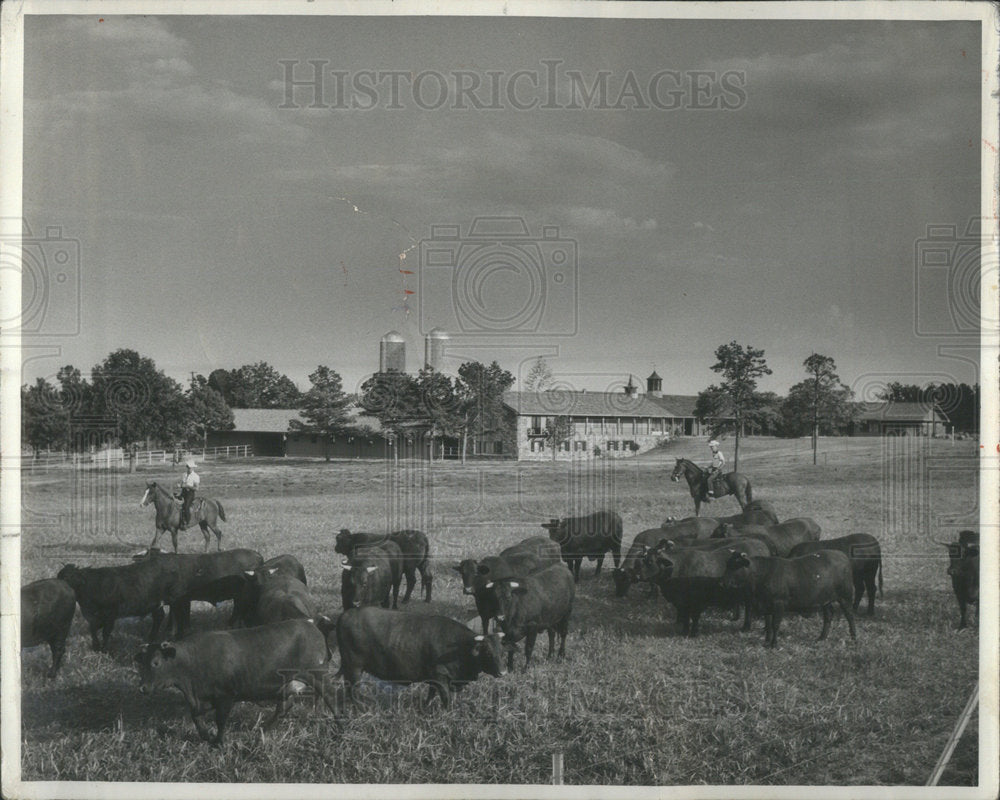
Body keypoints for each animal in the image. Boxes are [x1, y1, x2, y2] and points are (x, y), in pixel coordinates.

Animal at [133, 620, 338, 744]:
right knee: (283, 708)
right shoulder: (203, 699)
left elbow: (220, 720)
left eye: (156, 662)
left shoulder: (226, 696)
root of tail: (312, 627)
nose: (142, 688)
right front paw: (206, 736)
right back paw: (262, 730)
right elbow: (196, 716)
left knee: (331, 697)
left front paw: (218, 742)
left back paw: (340, 727)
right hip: (287, 685)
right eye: (141, 663)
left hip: (317, 675)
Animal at [336, 604, 508, 708]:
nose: (503, 672)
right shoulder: (440, 675)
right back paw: (360, 707)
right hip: (354, 667)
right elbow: (446, 698)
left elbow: (431, 694)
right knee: (352, 689)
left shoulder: (434, 678)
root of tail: (347, 614)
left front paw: (425, 707)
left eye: (502, 651)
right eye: (487, 652)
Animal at [724, 548, 856, 648]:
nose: (722, 582)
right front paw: (766, 641)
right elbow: (768, 624)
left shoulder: (779, 603)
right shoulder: (766, 604)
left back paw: (853, 637)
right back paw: (821, 638)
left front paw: (774, 644)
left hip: (845, 595)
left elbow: (775, 624)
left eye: (736, 565)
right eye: (727, 564)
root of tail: (842, 555)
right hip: (825, 599)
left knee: (850, 615)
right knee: (828, 615)